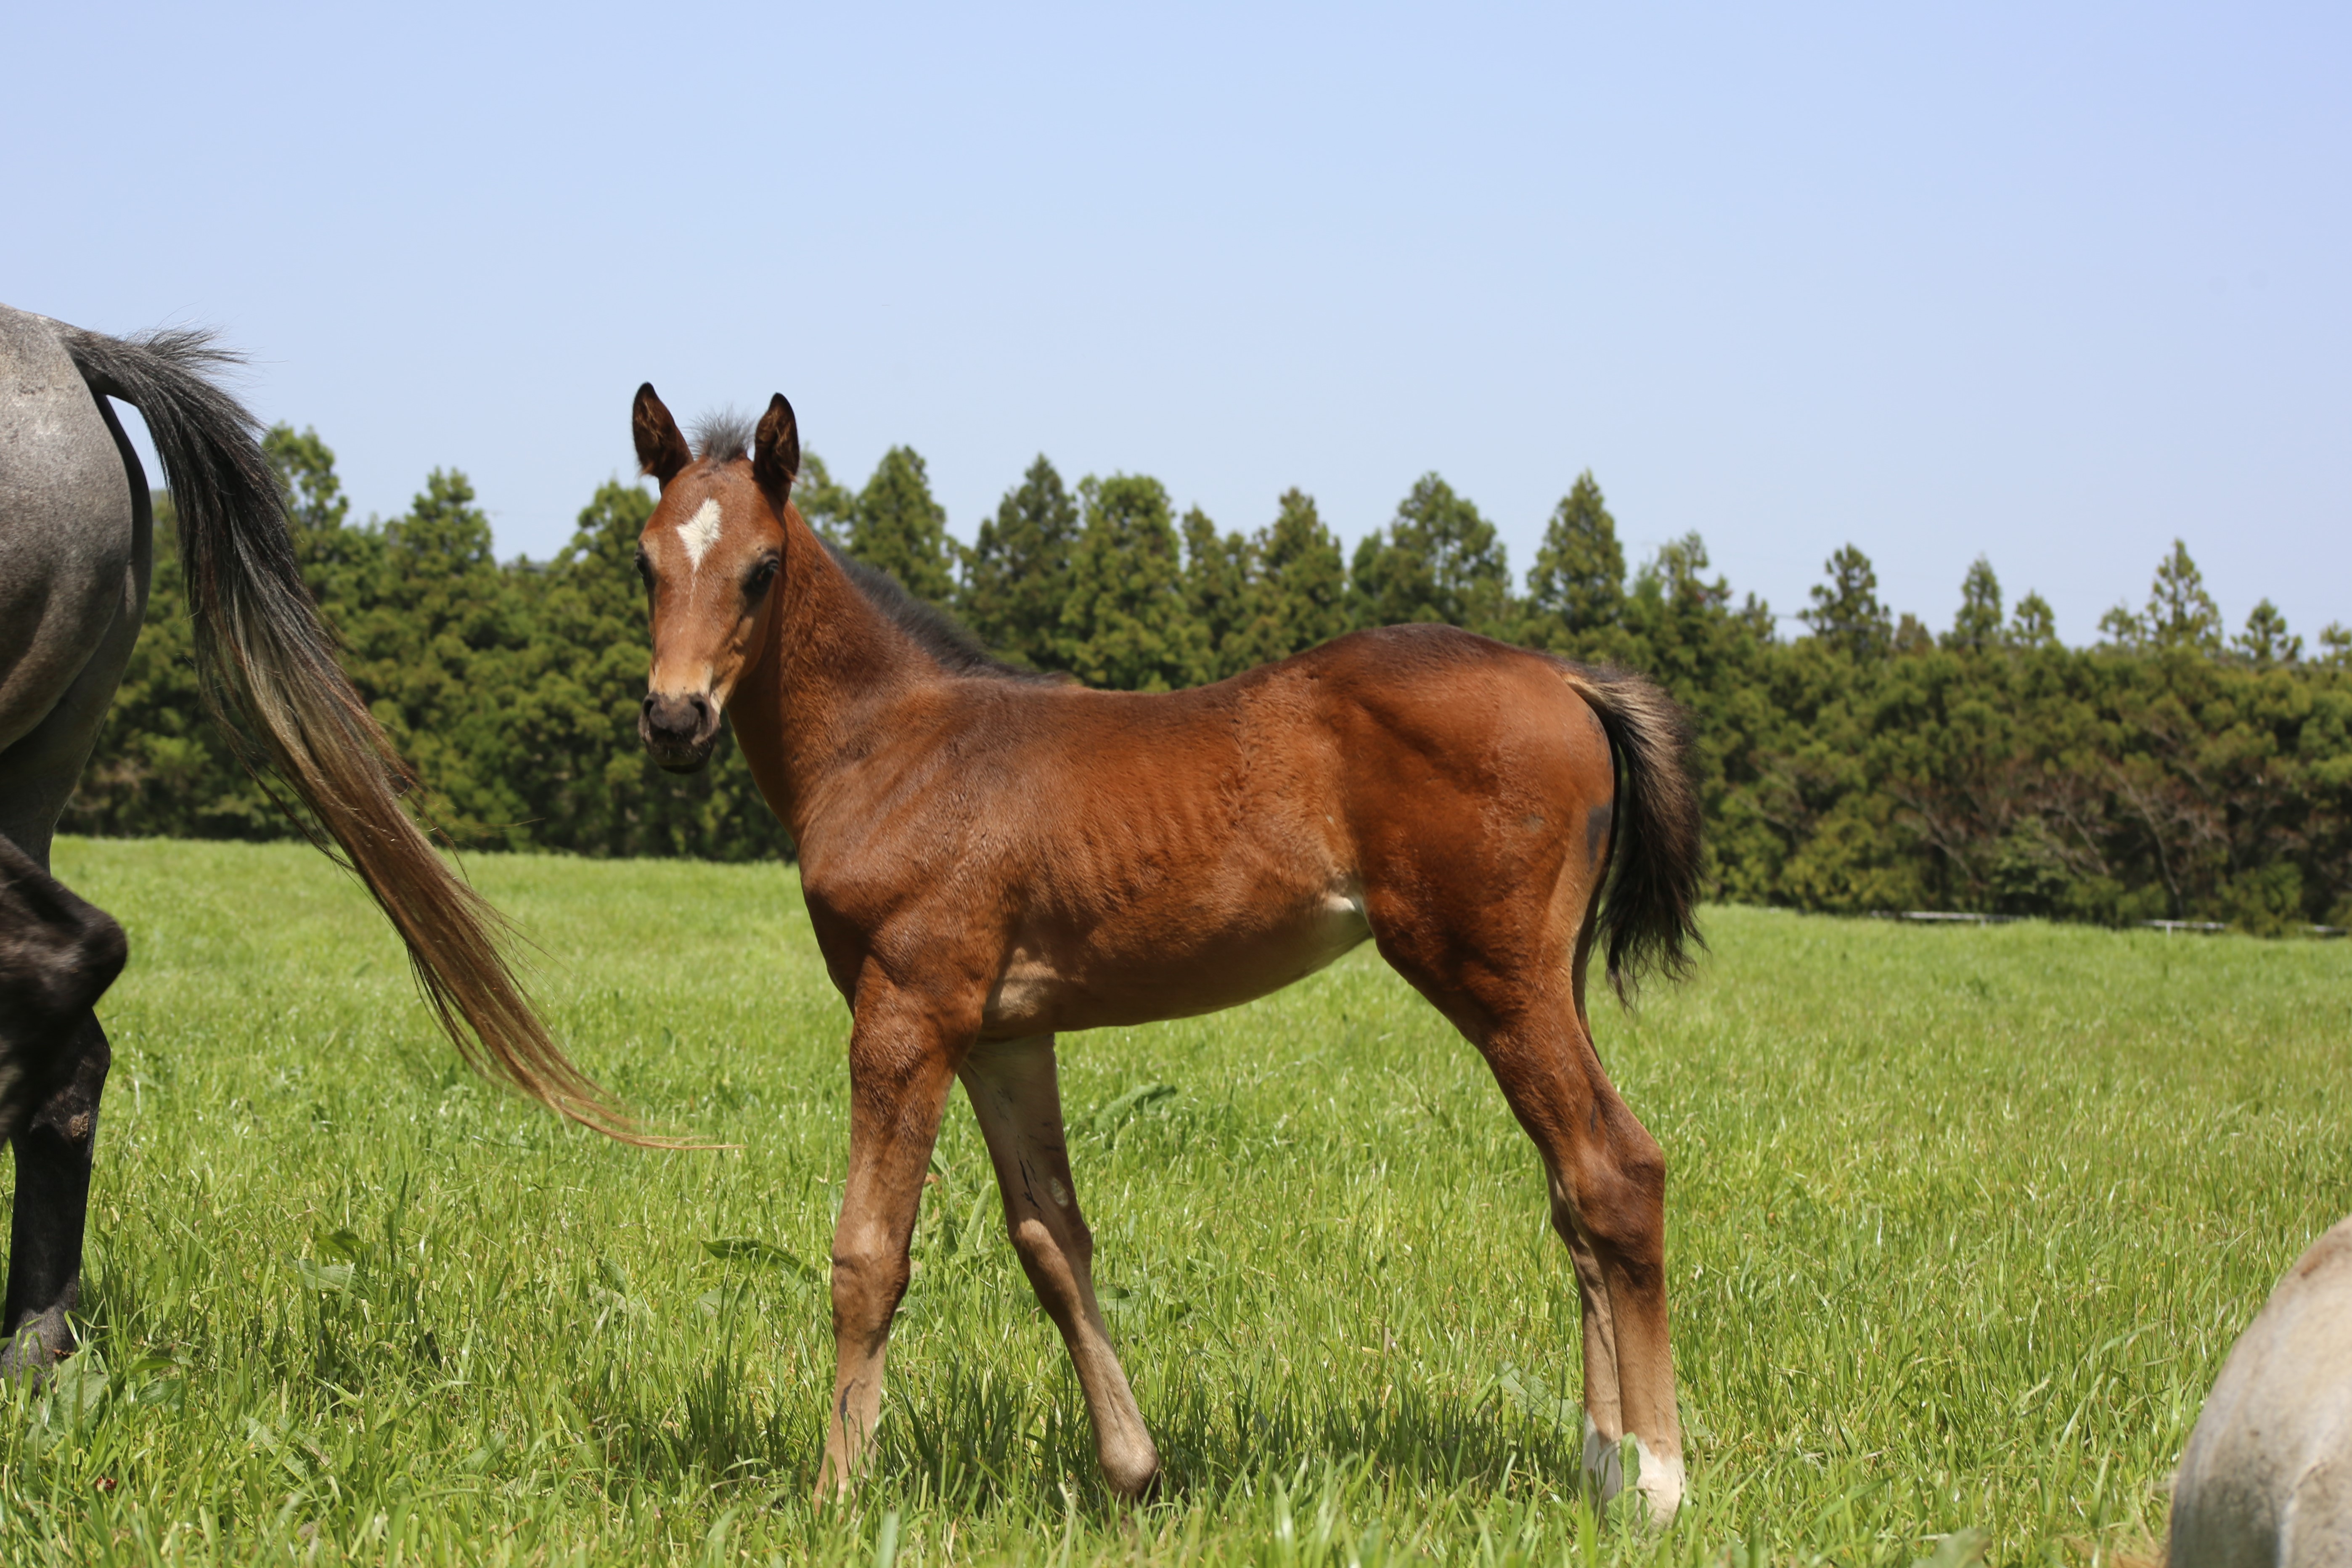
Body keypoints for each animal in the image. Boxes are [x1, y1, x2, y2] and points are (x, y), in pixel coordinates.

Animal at [635, 390, 1703, 1523]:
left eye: (761, 567)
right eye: (645, 560)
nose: (675, 717)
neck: (892, 745)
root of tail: (1565, 675)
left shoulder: (908, 1011)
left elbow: (868, 1254)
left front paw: (837, 1488)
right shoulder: (1005, 1037)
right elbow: (1052, 1239)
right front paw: (1134, 1469)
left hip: (1492, 978)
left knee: (1615, 1168)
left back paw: (1655, 1480)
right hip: (1547, 981)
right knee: (1570, 1187)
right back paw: (1598, 1462)